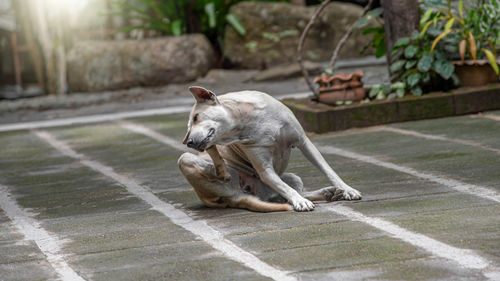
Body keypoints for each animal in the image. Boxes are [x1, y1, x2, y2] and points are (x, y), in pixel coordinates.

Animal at [178, 86, 362, 211]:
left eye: (196, 117)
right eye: (188, 128)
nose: (189, 142)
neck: (246, 121)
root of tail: (239, 195)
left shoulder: (304, 143)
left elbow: (327, 169)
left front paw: (348, 190)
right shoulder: (265, 170)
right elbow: (284, 187)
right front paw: (299, 202)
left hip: (293, 177)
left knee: (285, 195)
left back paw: (329, 193)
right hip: (186, 159)